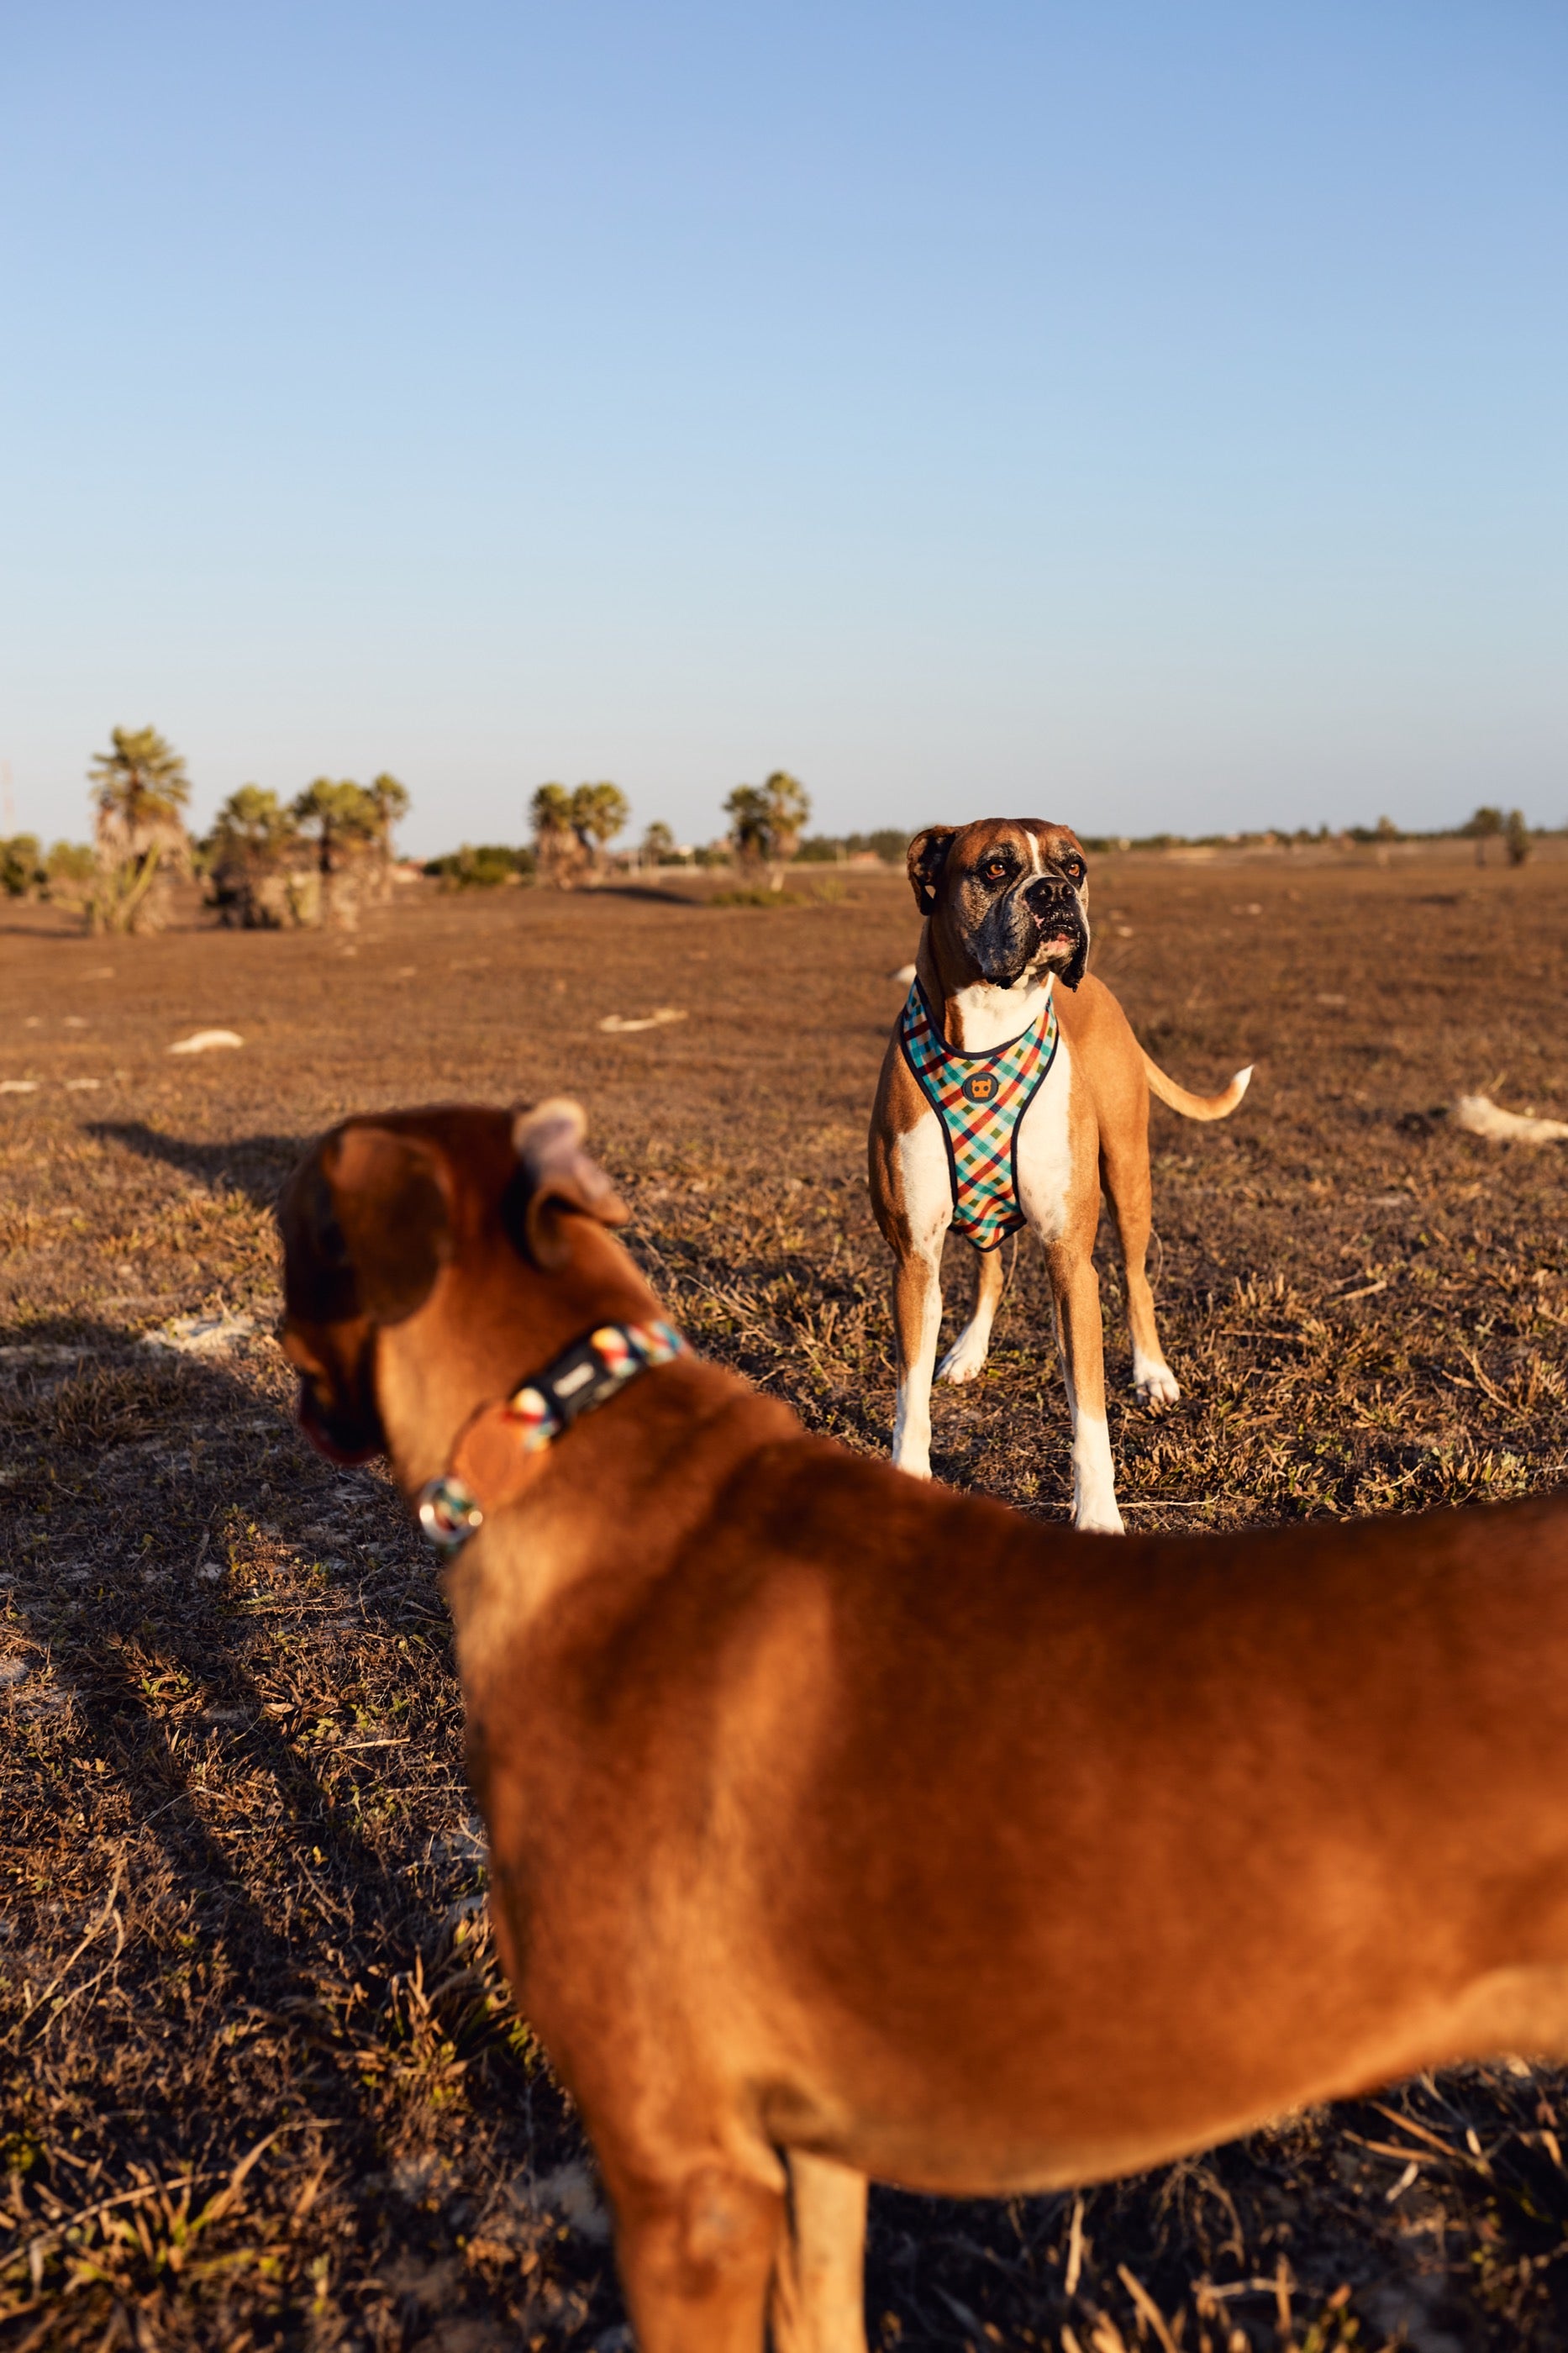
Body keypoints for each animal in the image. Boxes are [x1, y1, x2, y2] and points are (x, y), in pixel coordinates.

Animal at [866, 819, 1243, 1534]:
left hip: (1128, 1177)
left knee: (1136, 1278)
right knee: (989, 1268)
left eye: (1076, 866)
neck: (986, 1036)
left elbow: (1089, 1412)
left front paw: (1097, 1516)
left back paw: (1152, 1373)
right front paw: (908, 1476)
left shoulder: (1071, 1259)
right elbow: (910, 1397)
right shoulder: (913, 1258)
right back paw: (968, 1351)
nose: (1054, 893)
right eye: (993, 868)